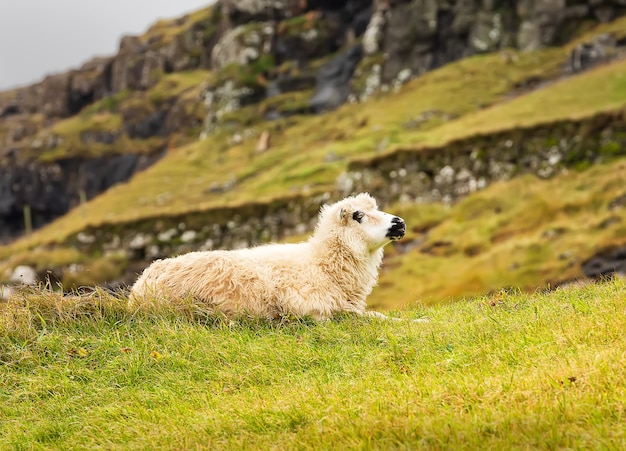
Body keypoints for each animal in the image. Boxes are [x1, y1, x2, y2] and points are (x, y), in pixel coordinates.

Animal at [129, 194, 408, 322]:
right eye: (358, 215)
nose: (400, 223)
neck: (321, 265)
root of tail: (139, 285)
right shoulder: (318, 310)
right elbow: (379, 318)